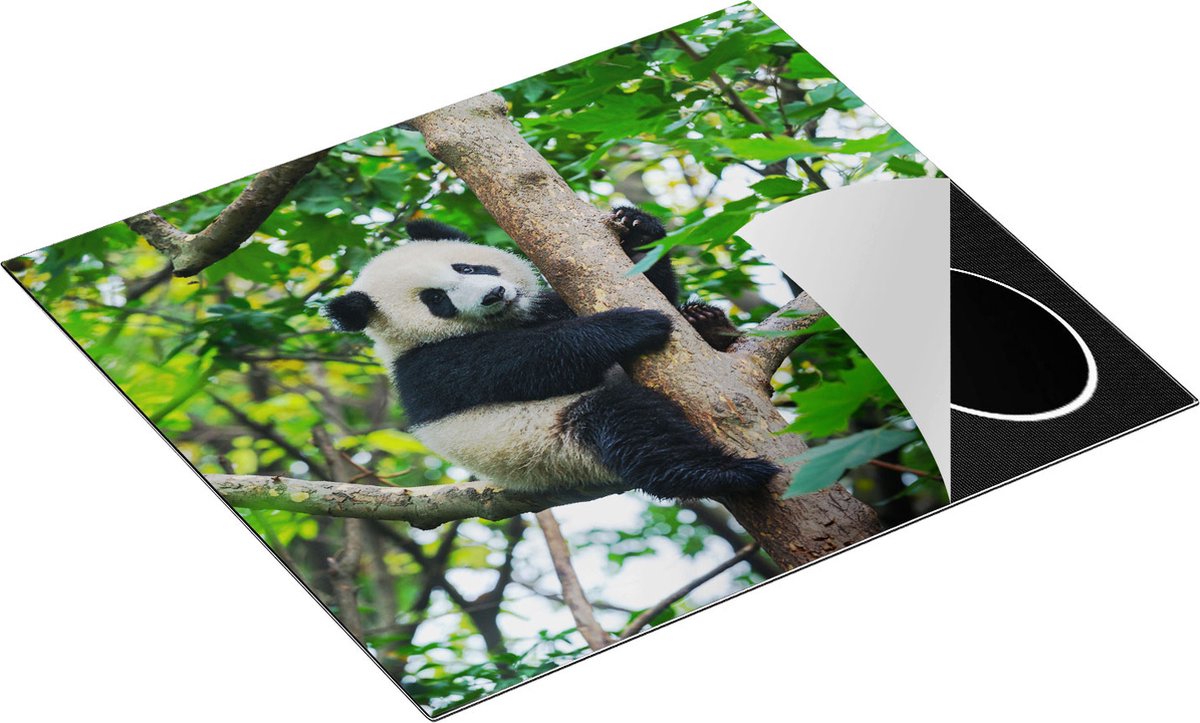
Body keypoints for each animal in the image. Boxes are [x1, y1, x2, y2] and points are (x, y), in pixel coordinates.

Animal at [324, 206, 779, 499]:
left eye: (467, 268)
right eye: (436, 300)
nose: (494, 295)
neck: (509, 319)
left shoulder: (544, 305)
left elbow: (644, 282)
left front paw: (637, 228)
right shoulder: (428, 368)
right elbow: (523, 361)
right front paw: (631, 325)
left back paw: (707, 323)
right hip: (558, 444)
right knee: (629, 427)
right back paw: (726, 473)